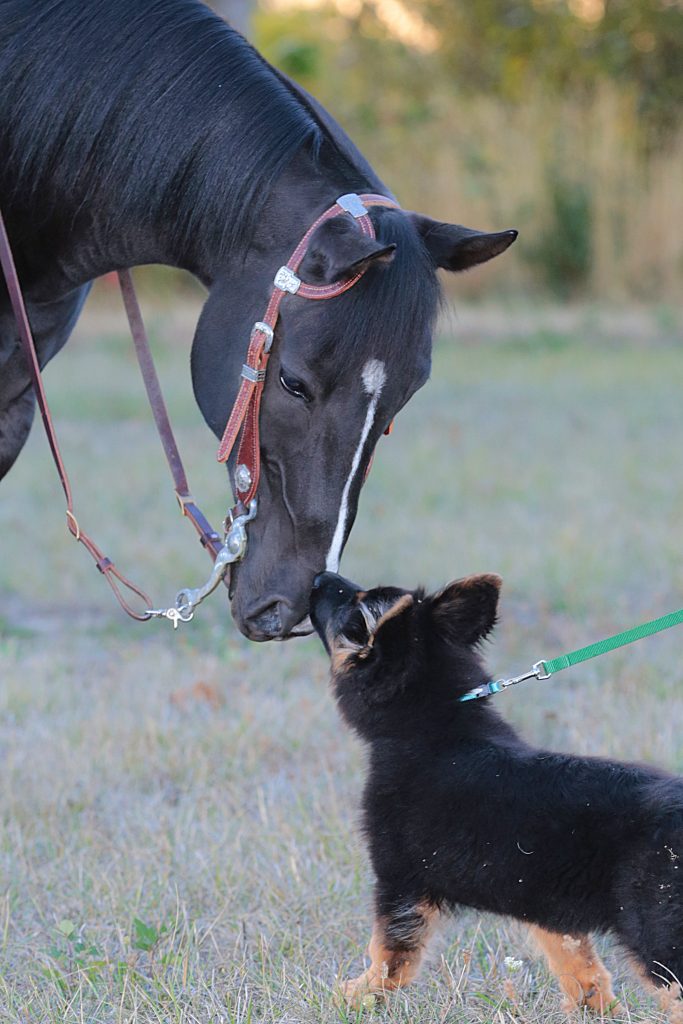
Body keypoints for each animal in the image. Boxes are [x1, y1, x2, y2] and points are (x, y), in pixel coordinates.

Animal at [309, 573, 683, 1011]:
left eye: (352, 605)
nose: (319, 578)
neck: (432, 723)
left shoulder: (400, 879)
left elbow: (388, 953)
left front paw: (354, 995)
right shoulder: (546, 903)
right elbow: (577, 964)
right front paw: (594, 1009)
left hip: (658, 931)